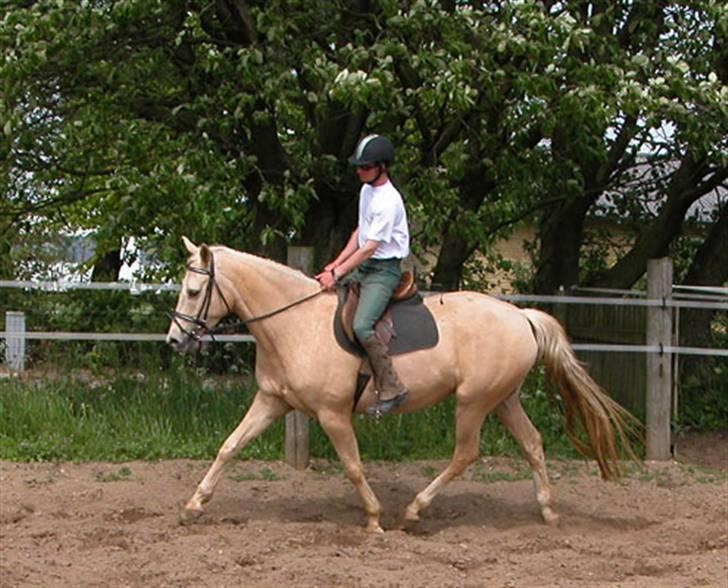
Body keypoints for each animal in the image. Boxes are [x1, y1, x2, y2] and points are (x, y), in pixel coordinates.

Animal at [166, 237, 638, 533]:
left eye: (194, 291)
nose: (175, 340)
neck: (294, 322)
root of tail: (521, 316)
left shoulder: (332, 414)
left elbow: (353, 465)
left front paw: (375, 519)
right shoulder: (271, 401)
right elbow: (230, 446)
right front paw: (192, 505)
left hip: (473, 401)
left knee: (465, 453)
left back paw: (414, 511)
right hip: (504, 399)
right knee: (533, 444)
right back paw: (548, 513)